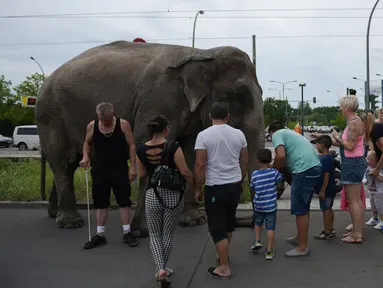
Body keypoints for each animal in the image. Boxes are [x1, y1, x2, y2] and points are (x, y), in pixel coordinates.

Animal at [35, 39, 264, 235]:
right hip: (51, 115)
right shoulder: (159, 100)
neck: (202, 53)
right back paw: (70, 223)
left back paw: (55, 215)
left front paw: (193, 221)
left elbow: (188, 155)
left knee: (70, 162)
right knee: (62, 161)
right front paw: (143, 230)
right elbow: (145, 145)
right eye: (238, 94)